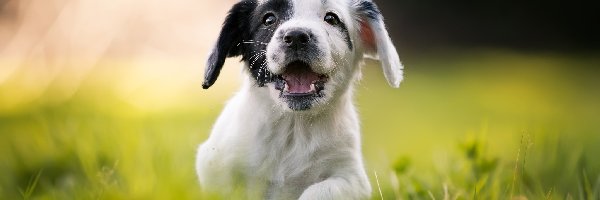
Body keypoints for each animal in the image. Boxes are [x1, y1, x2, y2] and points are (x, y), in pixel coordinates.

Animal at [197, 0, 404, 198]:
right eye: (268, 19)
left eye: (331, 18)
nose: (296, 36)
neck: (294, 126)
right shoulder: (213, 166)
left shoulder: (351, 178)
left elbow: (318, 191)